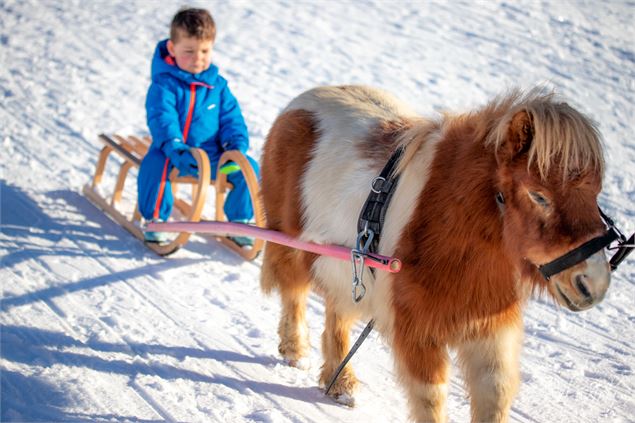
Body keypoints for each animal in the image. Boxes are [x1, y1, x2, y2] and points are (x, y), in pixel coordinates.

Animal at [258, 84, 612, 422]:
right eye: (539, 196)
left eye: (595, 194)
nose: (593, 284)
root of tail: (298, 105)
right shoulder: (417, 330)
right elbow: (430, 398)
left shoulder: (490, 331)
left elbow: (495, 395)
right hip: (291, 244)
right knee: (294, 293)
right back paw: (295, 350)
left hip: (346, 269)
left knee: (337, 314)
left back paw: (341, 383)